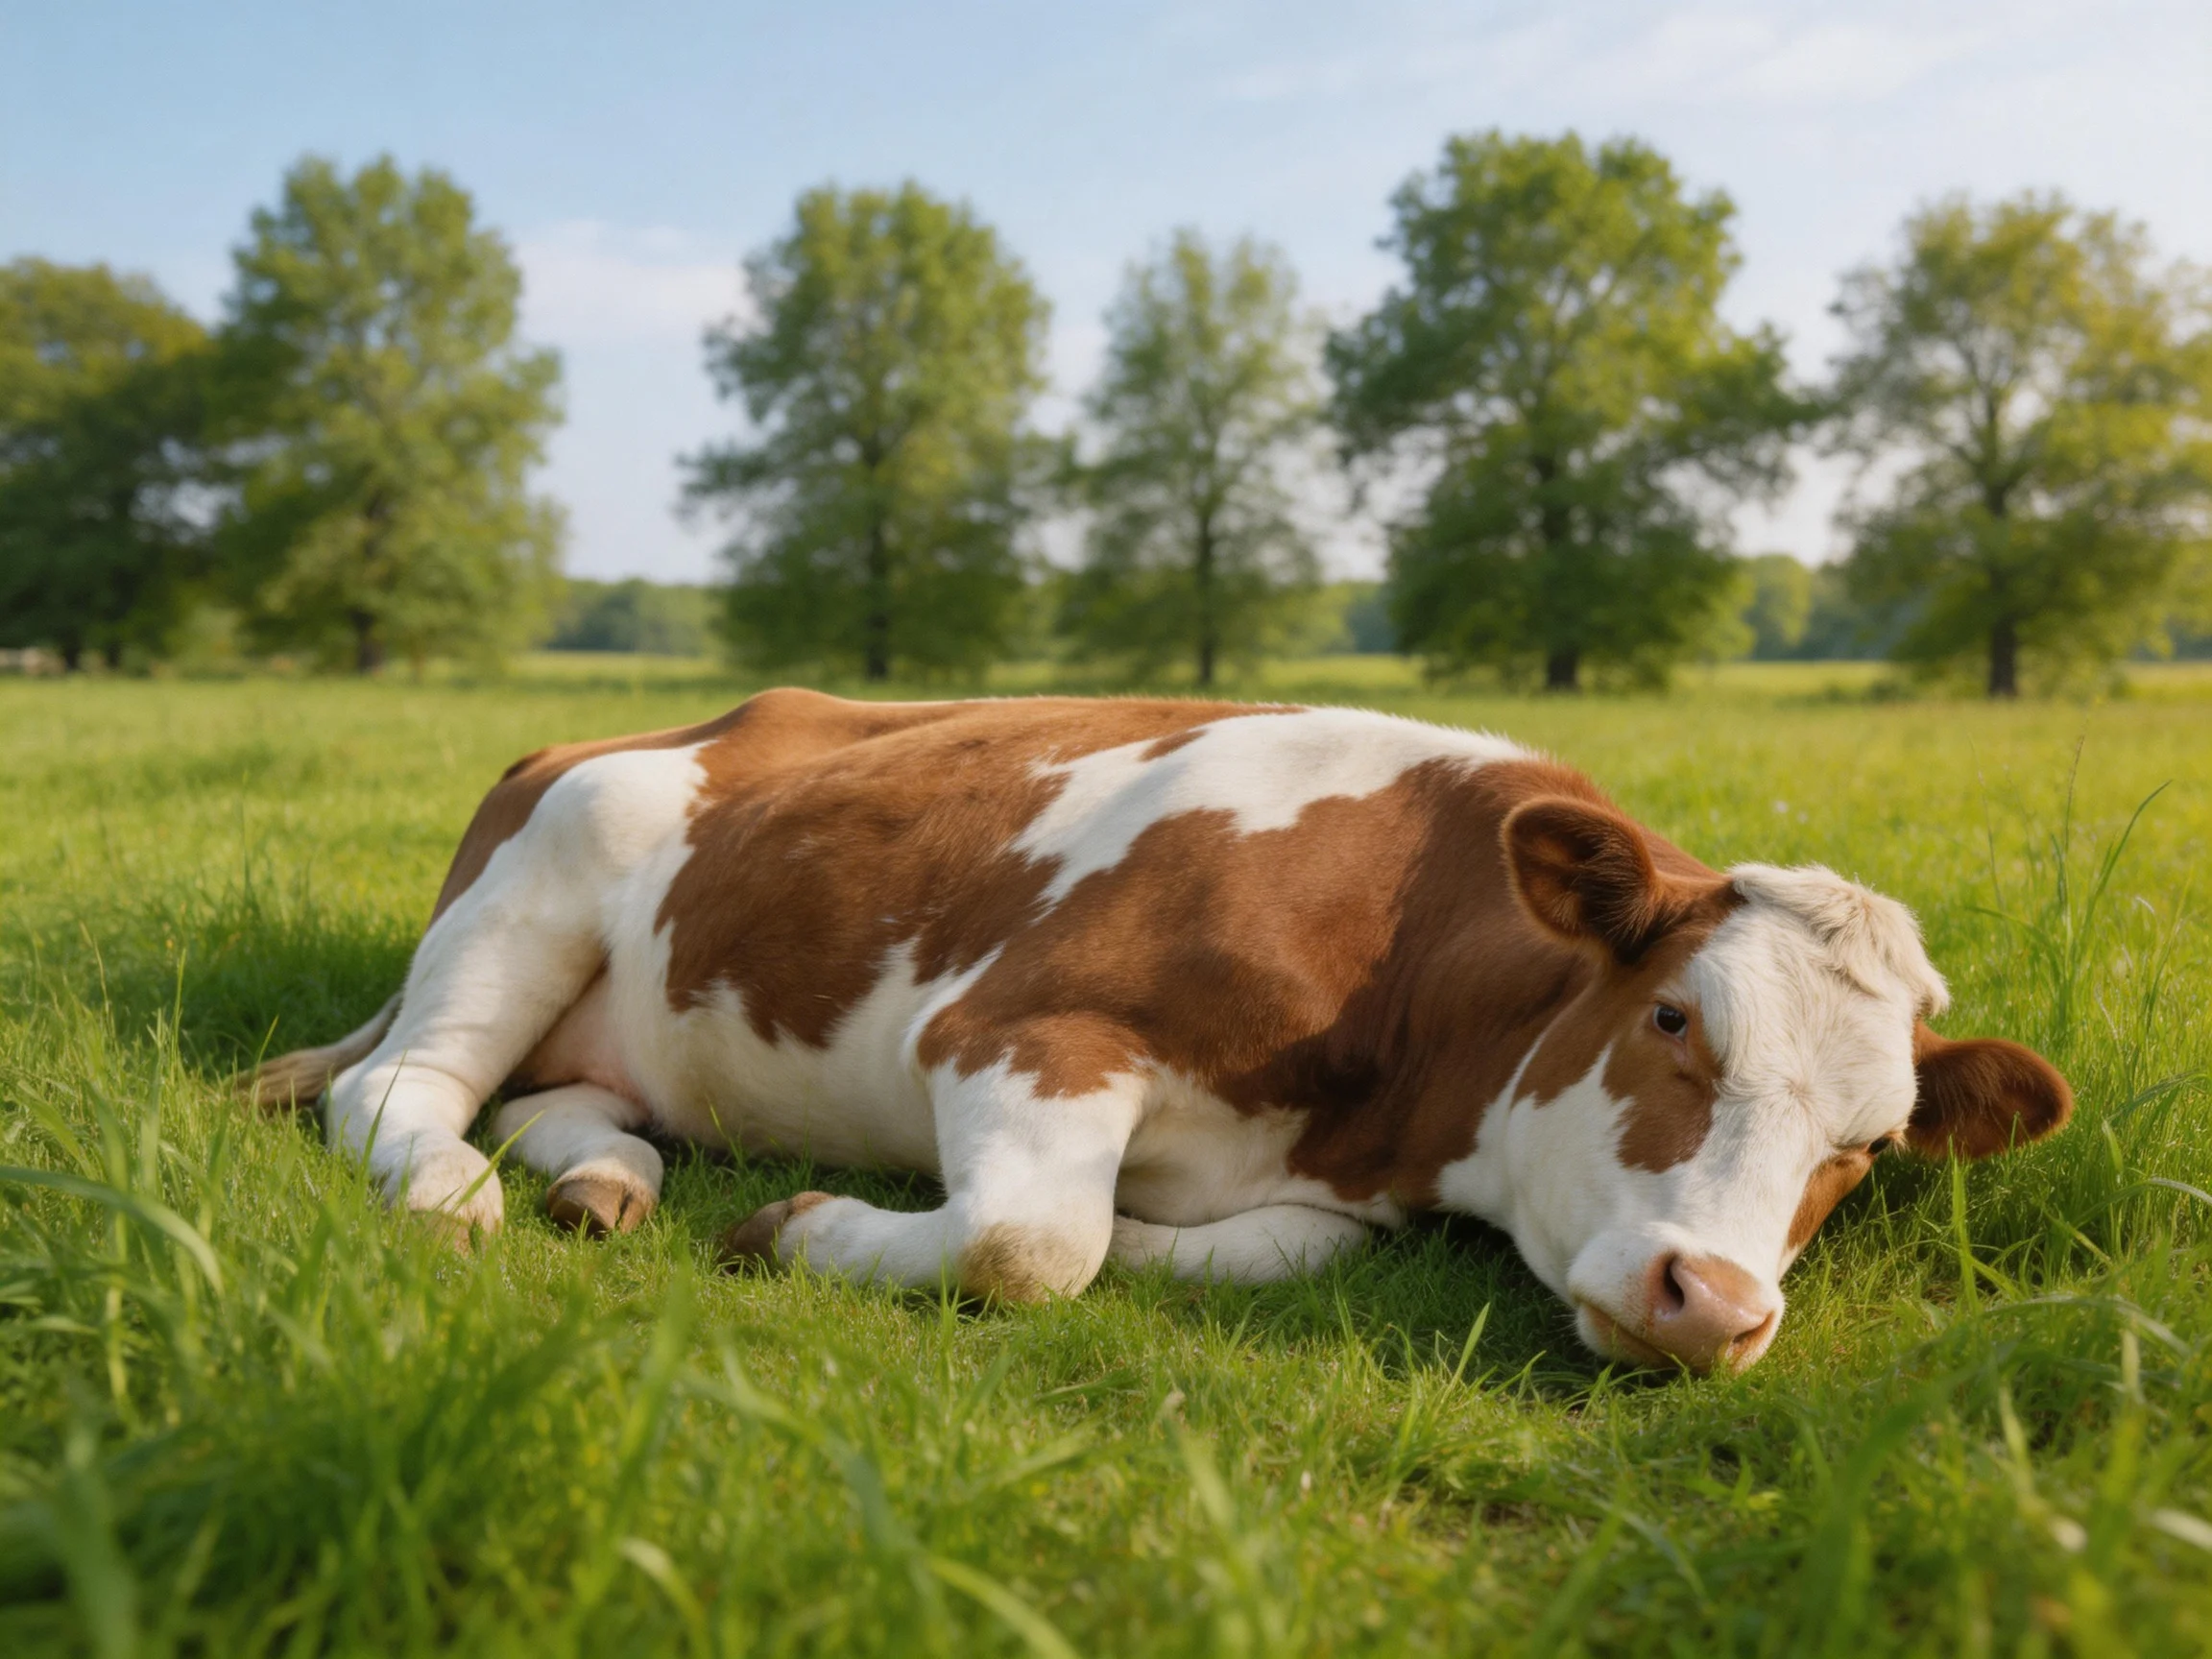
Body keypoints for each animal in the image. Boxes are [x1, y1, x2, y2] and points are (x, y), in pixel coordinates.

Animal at [244, 689, 2071, 1374]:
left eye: (1871, 1146)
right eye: (1675, 1016)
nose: (1717, 1305)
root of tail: (670, 723)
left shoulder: (1338, 1199)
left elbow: (1232, 1250)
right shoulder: (1017, 1025)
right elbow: (1029, 1243)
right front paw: (800, 1227)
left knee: (562, 1103)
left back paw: (602, 1183)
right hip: (537, 889)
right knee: (402, 1085)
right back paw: (454, 1193)